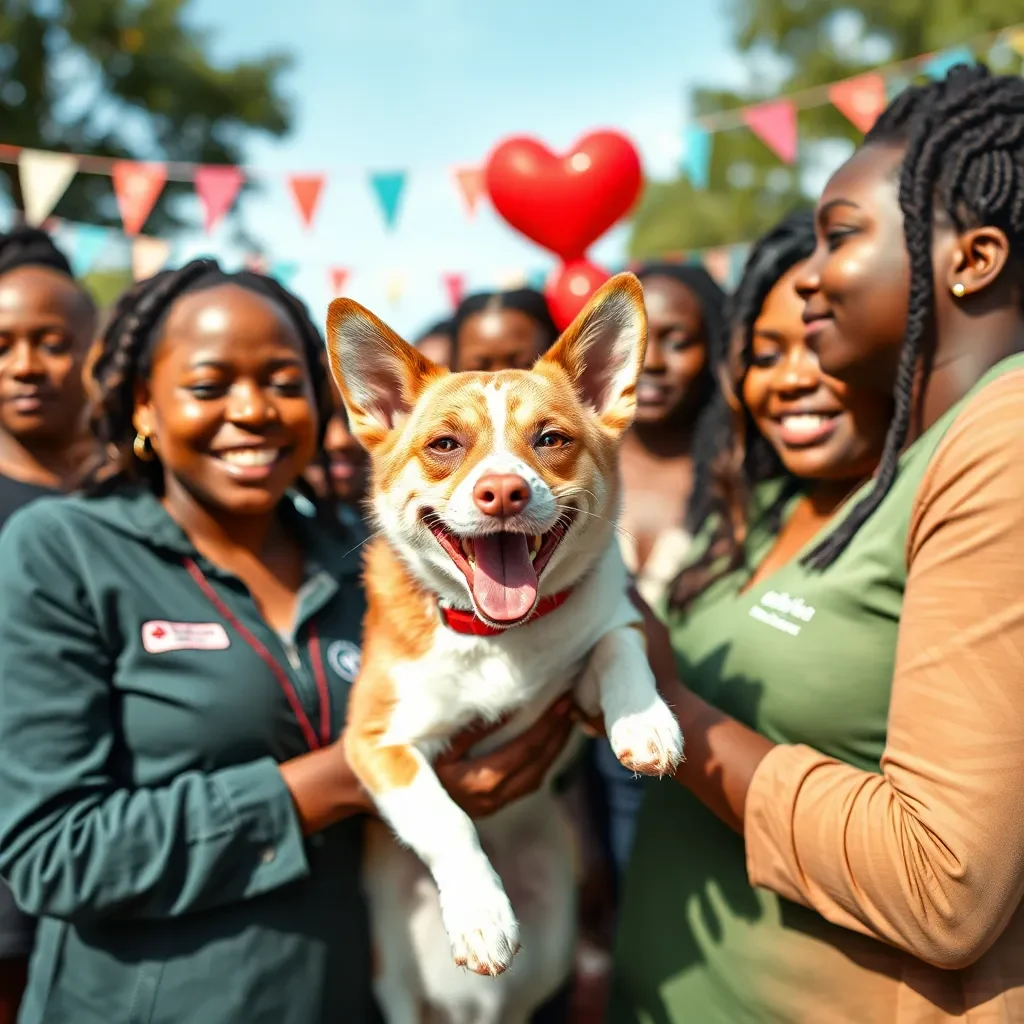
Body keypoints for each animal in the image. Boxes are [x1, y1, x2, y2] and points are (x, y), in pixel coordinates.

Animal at [323, 274, 684, 1024]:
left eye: (550, 439)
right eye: (444, 445)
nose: (504, 491)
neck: (496, 637)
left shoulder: (584, 675)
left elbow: (617, 645)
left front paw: (645, 722)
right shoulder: (375, 742)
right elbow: (447, 816)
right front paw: (480, 912)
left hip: (554, 940)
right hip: (393, 972)